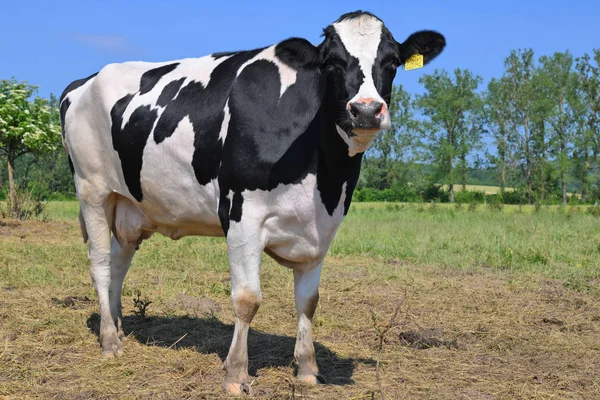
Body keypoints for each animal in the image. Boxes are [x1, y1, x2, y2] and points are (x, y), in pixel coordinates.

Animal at [61, 10, 442, 396]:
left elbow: (309, 301)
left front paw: (307, 369)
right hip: (92, 190)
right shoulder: (242, 215)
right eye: (331, 62)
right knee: (100, 263)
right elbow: (247, 300)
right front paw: (235, 373)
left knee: (119, 262)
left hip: (130, 206)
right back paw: (110, 341)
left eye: (391, 61)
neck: (323, 176)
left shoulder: (322, 226)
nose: (365, 110)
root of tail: (83, 82)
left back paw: (118, 325)